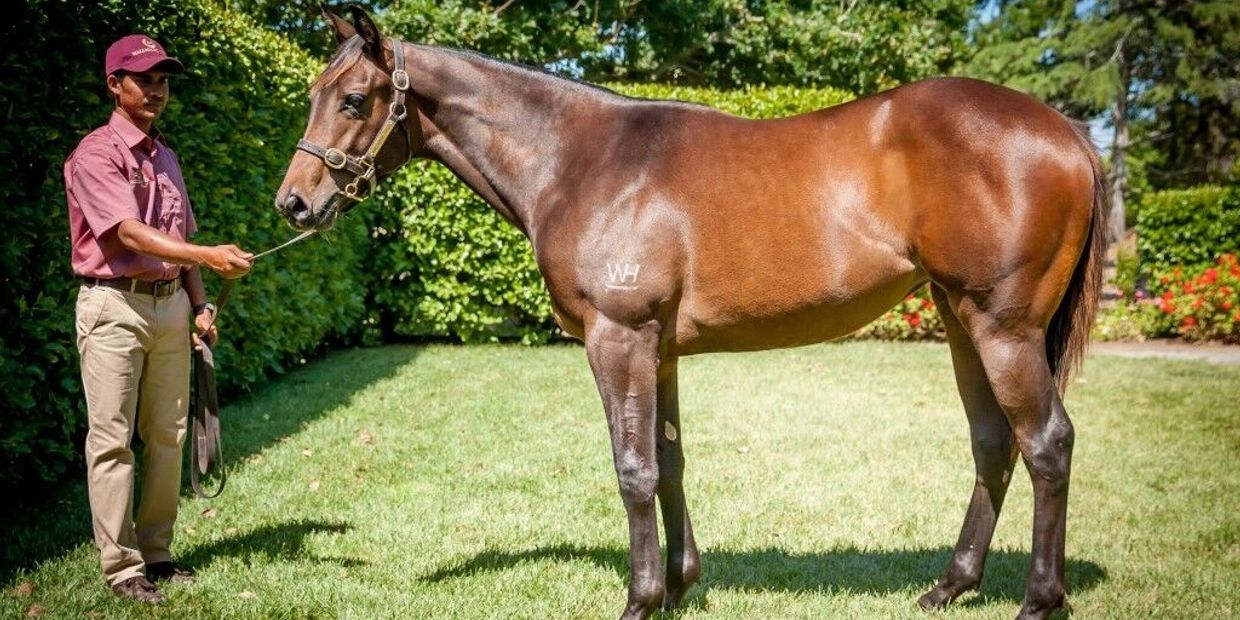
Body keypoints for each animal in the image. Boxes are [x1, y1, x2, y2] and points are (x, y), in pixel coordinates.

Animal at [276, 7, 1104, 620]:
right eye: (314, 91)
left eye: (353, 99)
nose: (293, 203)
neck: (579, 160)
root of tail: (1065, 132)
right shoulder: (660, 348)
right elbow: (670, 462)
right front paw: (678, 586)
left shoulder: (618, 338)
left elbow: (634, 468)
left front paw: (640, 600)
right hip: (962, 321)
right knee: (995, 444)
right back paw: (950, 586)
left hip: (1003, 329)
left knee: (1048, 443)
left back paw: (1039, 600)